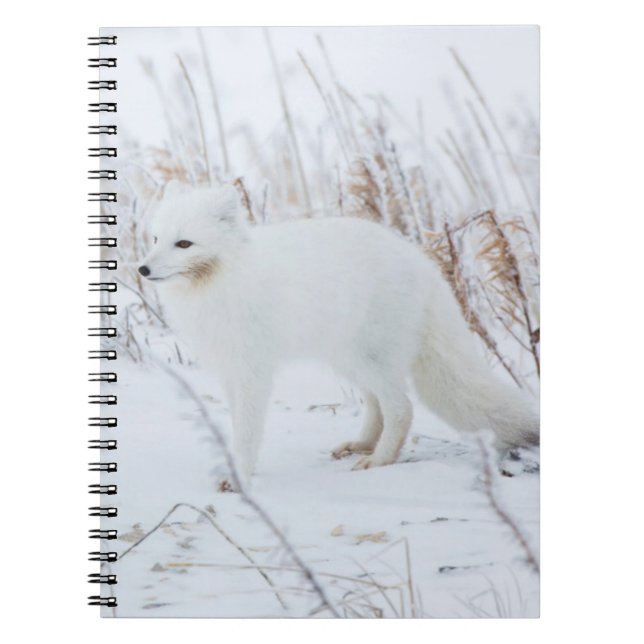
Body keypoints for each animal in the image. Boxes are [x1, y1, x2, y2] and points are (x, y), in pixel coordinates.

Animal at [139, 182, 539, 484]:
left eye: (184, 244)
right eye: (156, 238)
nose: (142, 269)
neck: (221, 282)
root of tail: (422, 263)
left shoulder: (254, 372)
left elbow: (249, 430)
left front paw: (240, 476)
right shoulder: (229, 371)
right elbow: (237, 423)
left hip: (373, 358)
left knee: (401, 409)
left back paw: (378, 460)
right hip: (349, 360)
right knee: (377, 405)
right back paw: (361, 445)